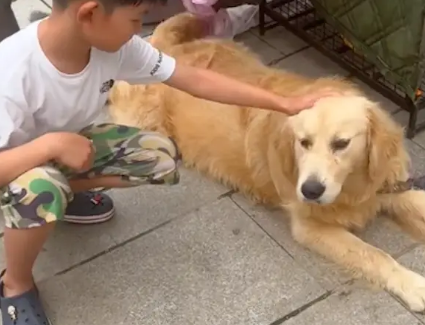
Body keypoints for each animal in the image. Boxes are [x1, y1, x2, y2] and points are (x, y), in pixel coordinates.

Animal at [107, 12, 424, 312]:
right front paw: (413, 285)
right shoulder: (309, 225)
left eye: (341, 144)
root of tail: (163, 49)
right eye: (303, 142)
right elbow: (374, 254)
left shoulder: (389, 187)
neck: (352, 186)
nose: (310, 191)